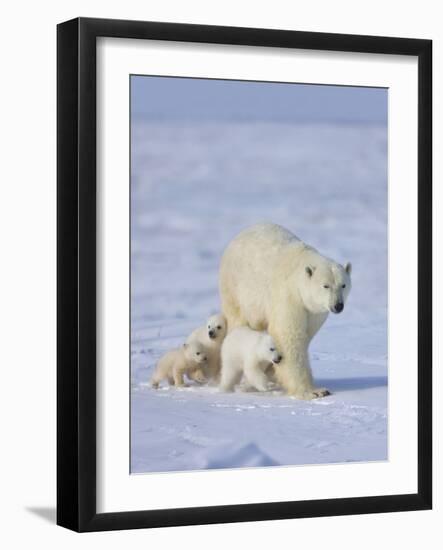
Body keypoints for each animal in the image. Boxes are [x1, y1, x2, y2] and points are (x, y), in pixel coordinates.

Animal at [220, 224, 352, 402]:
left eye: (343, 285)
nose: (338, 305)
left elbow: (305, 335)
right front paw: (313, 391)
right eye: (326, 286)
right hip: (237, 289)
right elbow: (288, 335)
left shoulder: (314, 312)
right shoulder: (289, 297)